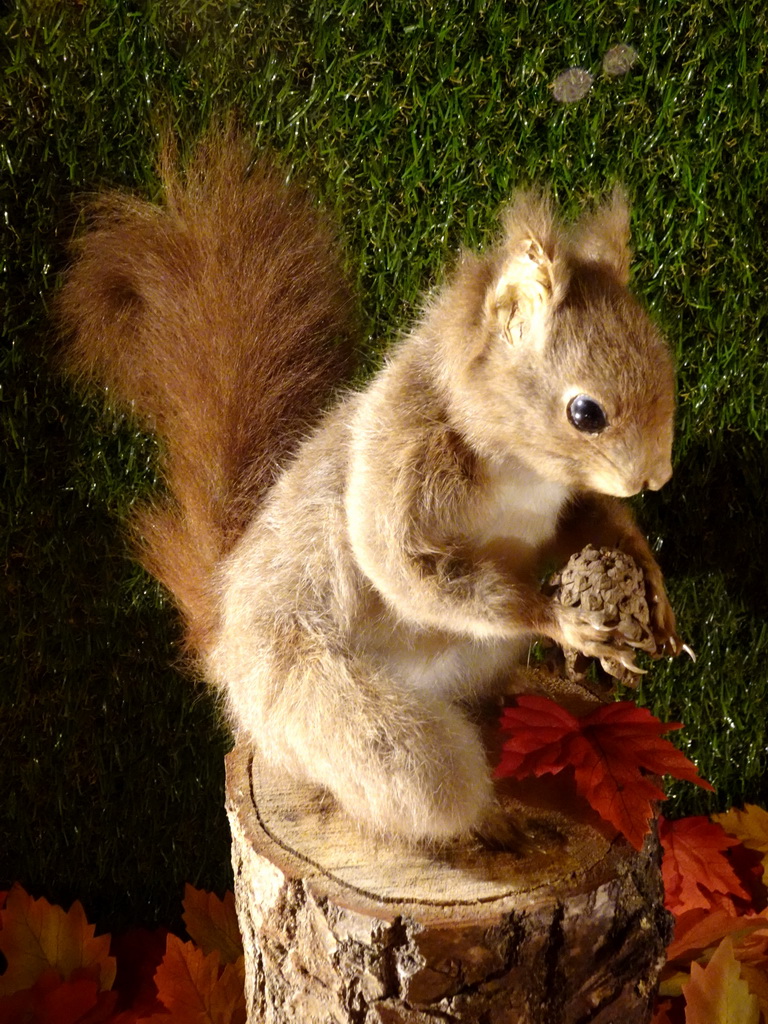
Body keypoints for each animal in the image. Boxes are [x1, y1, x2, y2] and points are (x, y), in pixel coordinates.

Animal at [61, 130, 684, 847]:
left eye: (665, 360)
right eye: (585, 412)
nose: (656, 476)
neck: (523, 470)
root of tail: (222, 640)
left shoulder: (566, 498)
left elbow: (599, 524)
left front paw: (651, 593)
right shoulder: (394, 466)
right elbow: (407, 572)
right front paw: (561, 619)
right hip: (331, 712)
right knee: (417, 778)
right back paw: (484, 823)